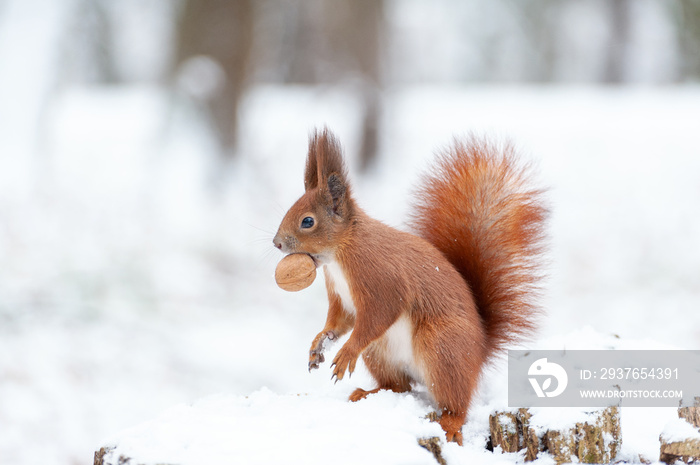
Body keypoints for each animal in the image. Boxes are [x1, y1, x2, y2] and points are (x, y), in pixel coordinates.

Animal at [274, 127, 548, 442]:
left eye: (308, 221)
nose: (276, 243)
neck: (341, 253)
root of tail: (479, 353)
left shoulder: (381, 278)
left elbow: (378, 315)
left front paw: (346, 352)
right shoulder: (341, 297)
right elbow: (339, 321)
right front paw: (320, 343)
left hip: (442, 347)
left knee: (455, 402)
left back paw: (450, 422)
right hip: (381, 353)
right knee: (399, 386)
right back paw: (367, 393)